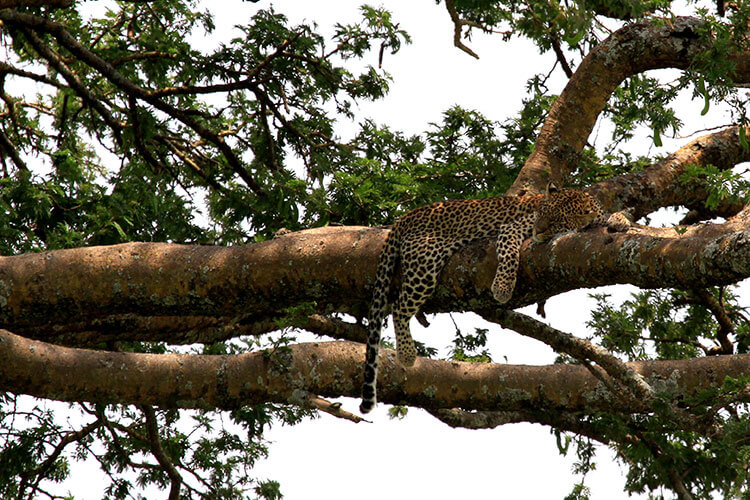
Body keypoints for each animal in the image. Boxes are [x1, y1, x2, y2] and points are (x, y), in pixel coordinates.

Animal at [362, 186, 632, 412]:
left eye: (557, 221)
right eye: (541, 214)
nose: (538, 230)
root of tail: (407, 216)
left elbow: (612, 216)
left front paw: (621, 220)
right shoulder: (513, 228)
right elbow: (509, 254)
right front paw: (502, 287)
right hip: (425, 263)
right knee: (399, 308)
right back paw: (407, 354)